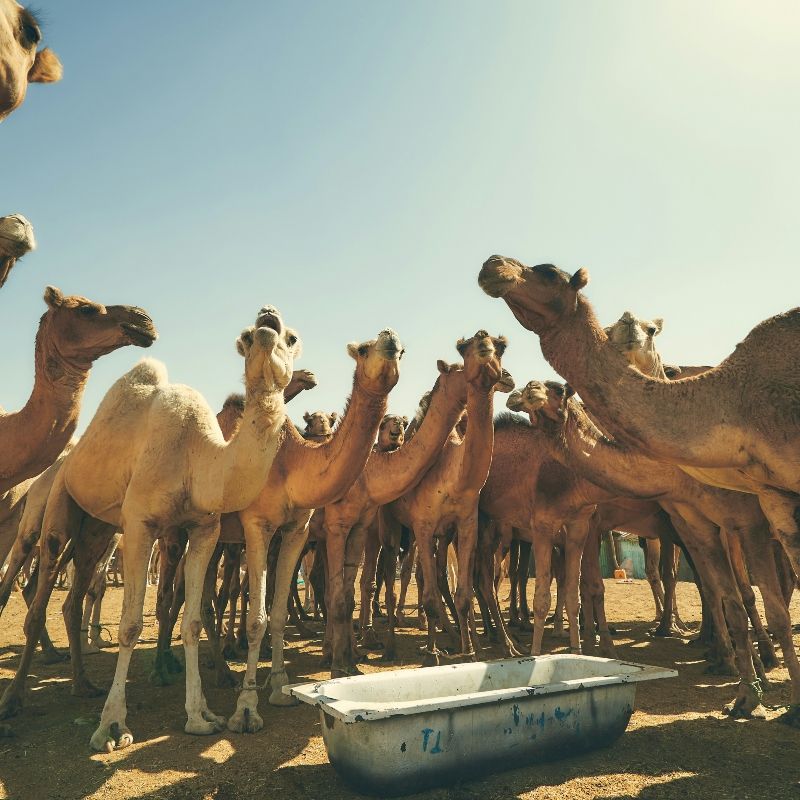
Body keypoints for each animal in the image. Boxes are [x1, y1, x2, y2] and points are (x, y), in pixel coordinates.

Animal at [0, 308, 298, 750]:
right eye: (245, 338)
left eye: (291, 338)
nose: (267, 320)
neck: (197, 457)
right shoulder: (141, 524)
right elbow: (130, 625)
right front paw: (111, 727)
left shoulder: (204, 529)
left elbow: (191, 622)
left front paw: (200, 716)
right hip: (55, 505)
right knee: (37, 595)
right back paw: (13, 701)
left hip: (98, 531)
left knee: (73, 596)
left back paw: (82, 684)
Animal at [380, 331, 511, 666]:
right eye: (465, 350)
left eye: (501, 347)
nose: (506, 376)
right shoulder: (424, 525)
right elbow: (427, 596)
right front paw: (432, 655)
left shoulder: (464, 524)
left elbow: (463, 593)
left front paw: (470, 652)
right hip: (392, 524)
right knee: (391, 575)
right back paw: (390, 645)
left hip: (436, 535)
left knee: (436, 576)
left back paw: (451, 638)